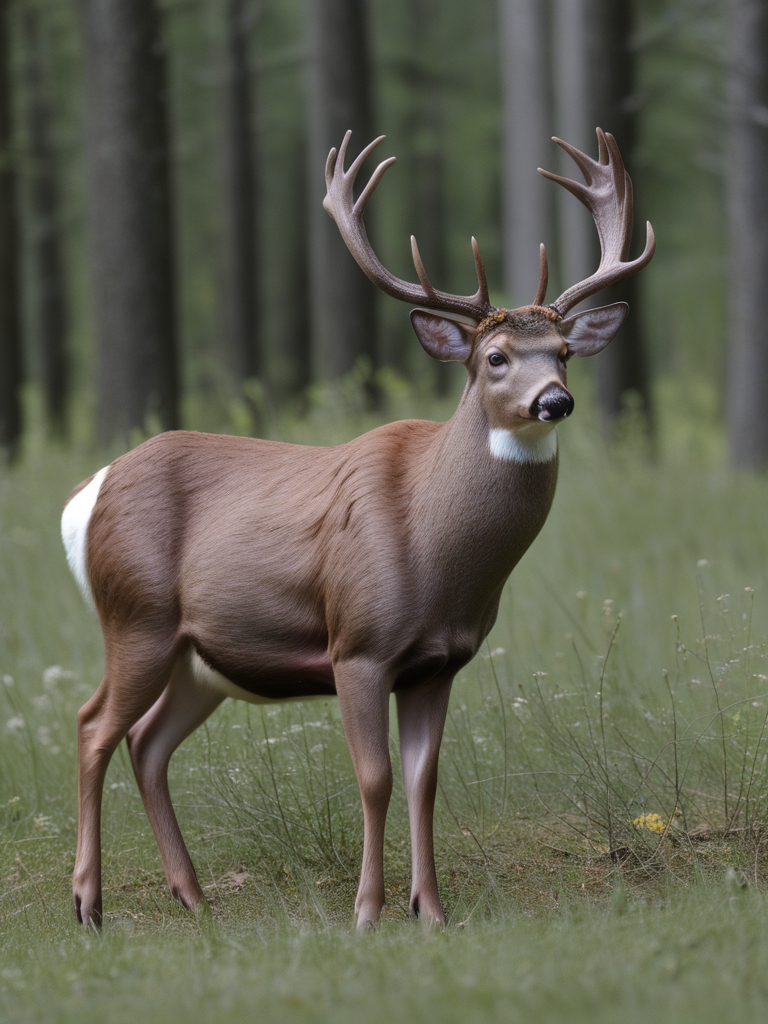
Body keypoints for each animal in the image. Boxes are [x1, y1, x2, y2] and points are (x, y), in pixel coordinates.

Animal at [61, 128, 654, 931]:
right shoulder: (359, 644)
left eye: (563, 353)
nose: (554, 401)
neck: (438, 556)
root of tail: (87, 493)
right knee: (94, 725)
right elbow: (374, 776)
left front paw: (430, 910)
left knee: (147, 742)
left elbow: (425, 780)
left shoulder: (440, 663)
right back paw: (88, 904)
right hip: (136, 616)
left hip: (197, 656)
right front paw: (368, 911)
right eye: (495, 358)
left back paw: (194, 897)